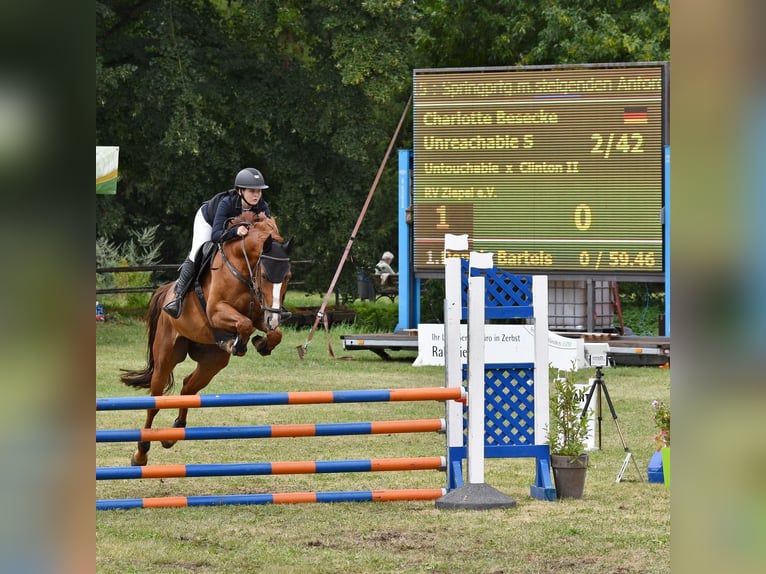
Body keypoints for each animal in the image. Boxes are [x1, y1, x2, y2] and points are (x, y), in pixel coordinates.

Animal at [120, 212, 294, 468]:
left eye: (288, 276)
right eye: (264, 275)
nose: (274, 317)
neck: (243, 268)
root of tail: (166, 290)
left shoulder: (259, 313)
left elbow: (271, 332)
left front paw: (261, 343)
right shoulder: (216, 311)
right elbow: (244, 324)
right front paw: (239, 343)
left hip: (212, 362)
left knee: (187, 387)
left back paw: (174, 432)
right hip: (166, 358)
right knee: (155, 400)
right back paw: (140, 453)